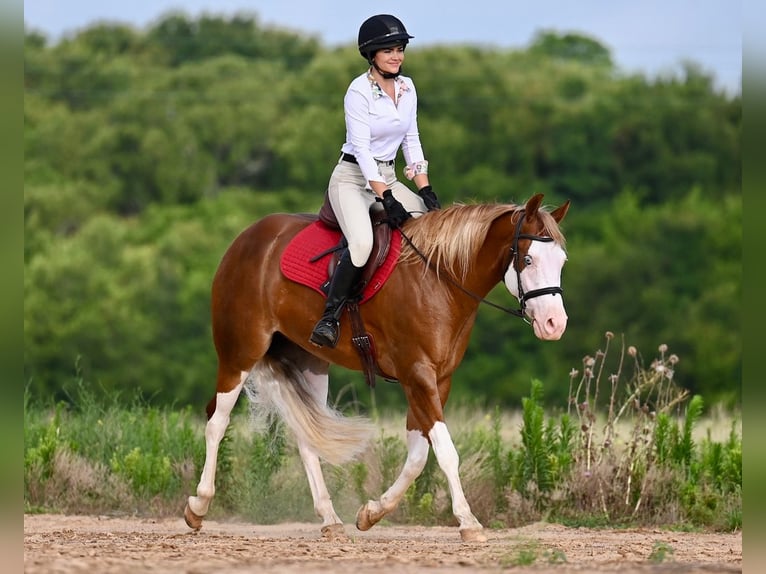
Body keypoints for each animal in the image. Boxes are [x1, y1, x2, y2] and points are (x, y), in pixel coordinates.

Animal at [184, 192, 568, 544]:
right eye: (528, 259)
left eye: (562, 261)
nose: (555, 324)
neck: (438, 278)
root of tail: (246, 238)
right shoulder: (417, 374)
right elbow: (446, 452)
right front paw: (468, 522)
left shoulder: (436, 380)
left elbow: (418, 456)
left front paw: (372, 512)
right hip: (239, 354)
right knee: (217, 422)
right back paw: (198, 506)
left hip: (310, 365)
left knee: (307, 438)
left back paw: (330, 519)